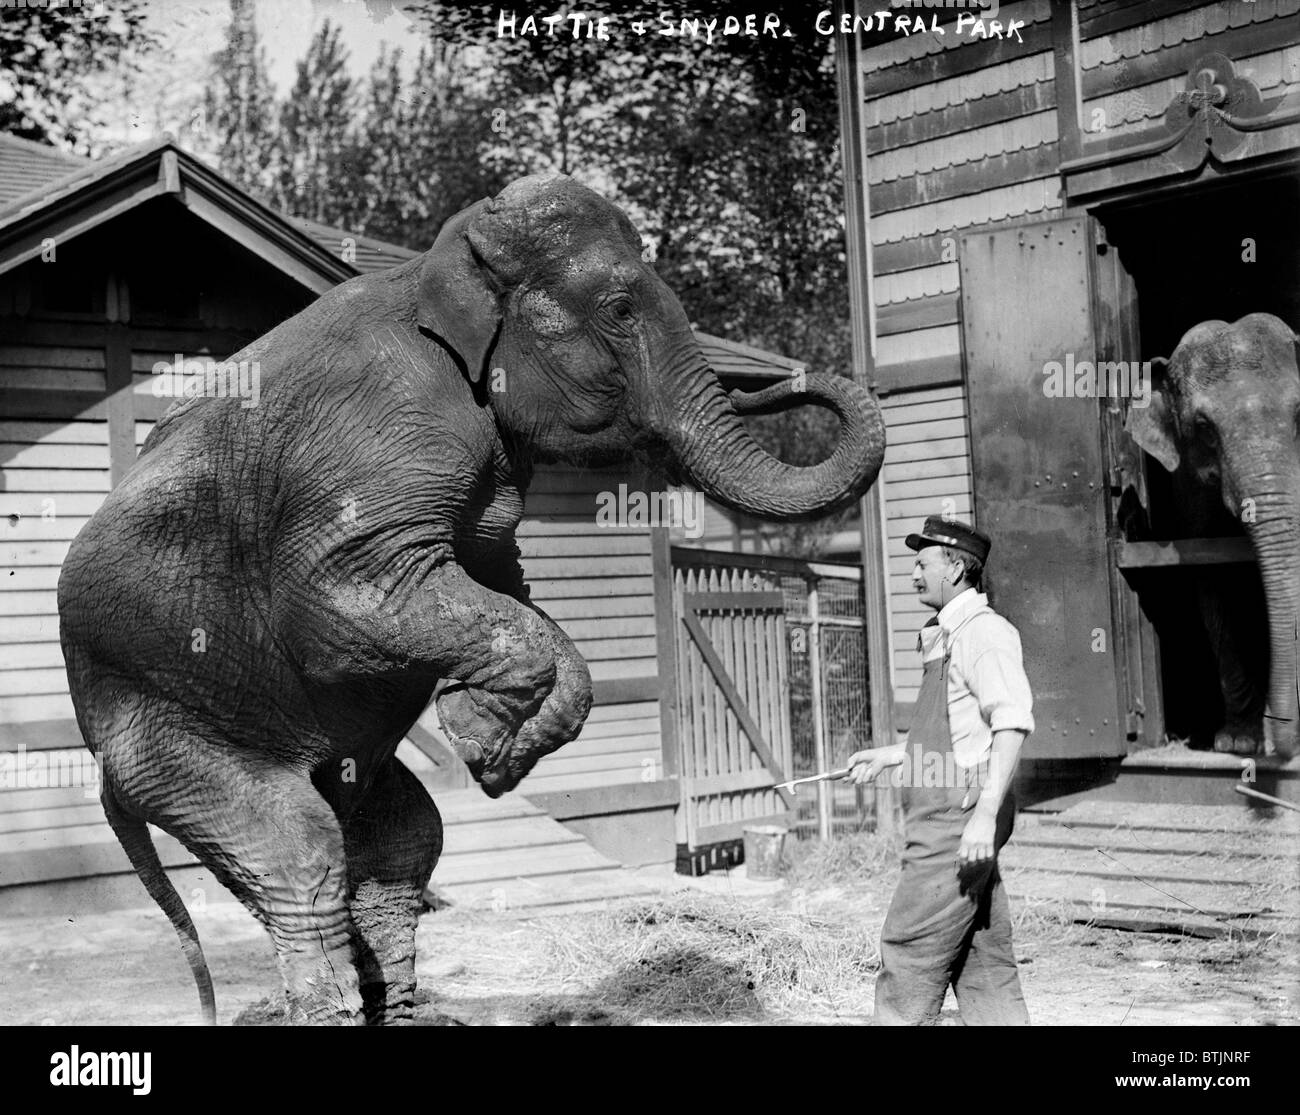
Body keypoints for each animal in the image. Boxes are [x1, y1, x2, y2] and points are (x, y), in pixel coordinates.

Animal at [55, 175, 889, 1024]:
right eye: (621, 309)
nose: (787, 380)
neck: (436, 268)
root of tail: (103, 768)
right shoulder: (369, 448)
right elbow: (346, 595)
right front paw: (475, 736)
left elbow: (510, 587)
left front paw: (490, 744)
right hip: (168, 730)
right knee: (298, 851)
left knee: (402, 844)